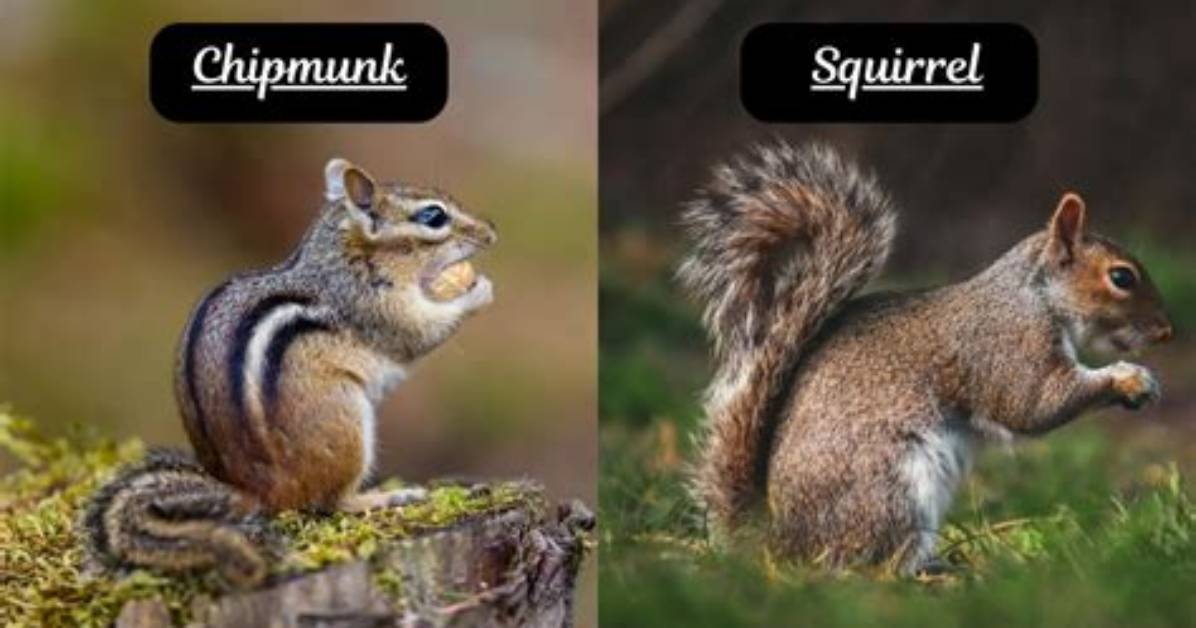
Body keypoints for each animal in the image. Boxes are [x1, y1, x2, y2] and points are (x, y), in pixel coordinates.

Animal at [80, 158, 497, 586]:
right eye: (433, 216)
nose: (491, 232)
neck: (343, 257)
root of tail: (258, 492)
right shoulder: (373, 307)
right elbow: (419, 333)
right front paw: (479, 290)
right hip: (345, 422)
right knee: (331, 501)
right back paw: (386, 496)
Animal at [679, 142, 1172, 574]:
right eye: (1121, 277)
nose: (1166, 331)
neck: (1034, 296)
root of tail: (778, 541)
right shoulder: (1007, 346)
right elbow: (1034, 404)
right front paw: (1129, 379)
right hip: (891, 484)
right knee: (868, 561)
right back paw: (932, 571)